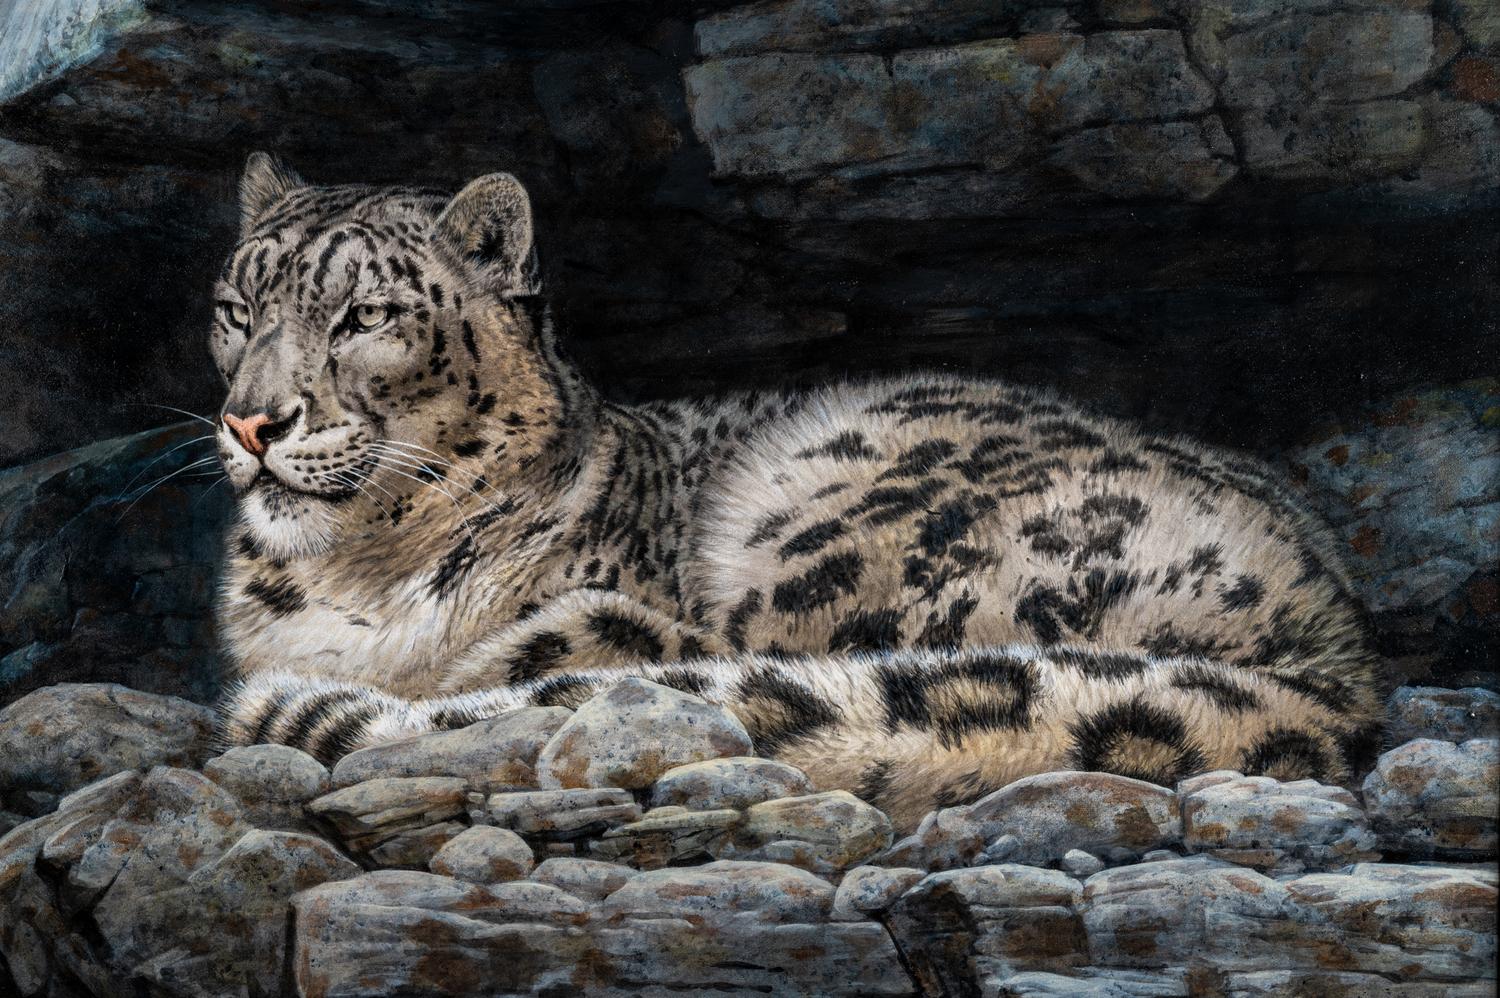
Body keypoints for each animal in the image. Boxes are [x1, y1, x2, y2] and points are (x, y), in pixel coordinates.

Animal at [215, 153, 1383, 831]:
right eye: (234, 305)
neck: (351, 573)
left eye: (366, 315)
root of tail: (1337, 642)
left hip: (835, 535)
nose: (253, 420)